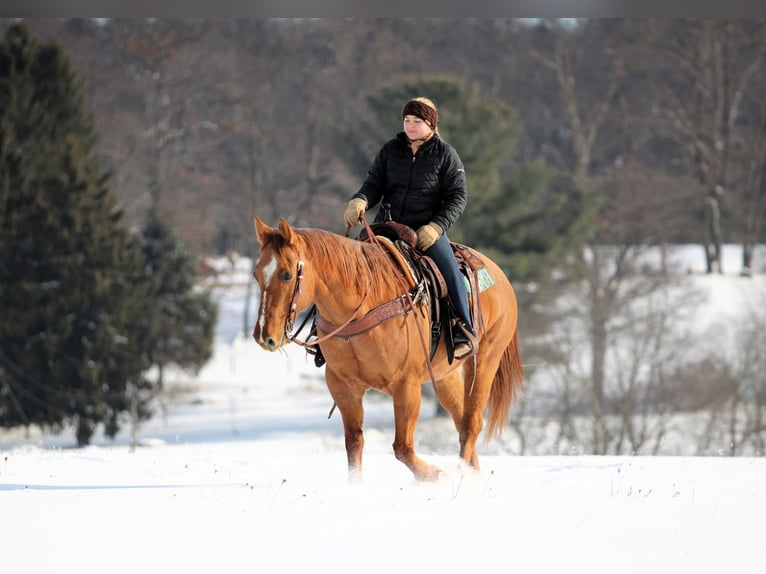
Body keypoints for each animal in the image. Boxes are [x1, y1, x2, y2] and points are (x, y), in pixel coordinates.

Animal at [252, 215, 523, 481]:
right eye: (256, 274)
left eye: (287, 275)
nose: (265, 336)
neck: (360, 308)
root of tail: (499, 275)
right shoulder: (343, 387)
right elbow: (354, 444)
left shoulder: (406, 385)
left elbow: (402, 447)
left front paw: (435, 474)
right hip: (446, 375)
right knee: (460, 420)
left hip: (486, 362)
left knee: (471, 423)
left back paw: (460, 473)